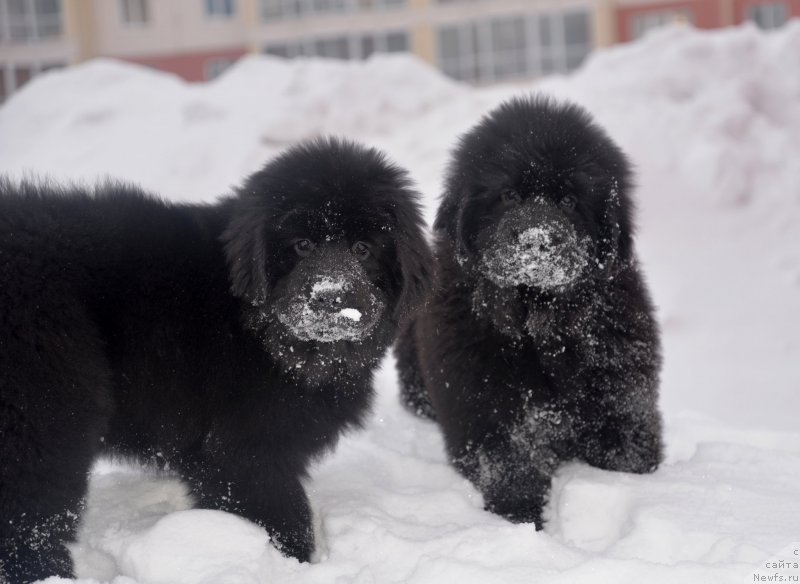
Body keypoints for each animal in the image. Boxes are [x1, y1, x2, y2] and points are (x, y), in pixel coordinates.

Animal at [0, 138, 432, 584]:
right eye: (302, 245)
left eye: (363, 249)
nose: (330, 297)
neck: (260, 328)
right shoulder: (244, 451)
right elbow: (283, 516)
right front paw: (288, 564)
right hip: (45, 414)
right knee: (31, 517)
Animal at [394, 94, 664, 524]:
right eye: (509, 195)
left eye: (569, 201)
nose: (537, 239)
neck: (536, 318)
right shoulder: (481, 400)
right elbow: (509, 459)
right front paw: (520, 513)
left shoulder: (623, 385)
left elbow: (630, 450)